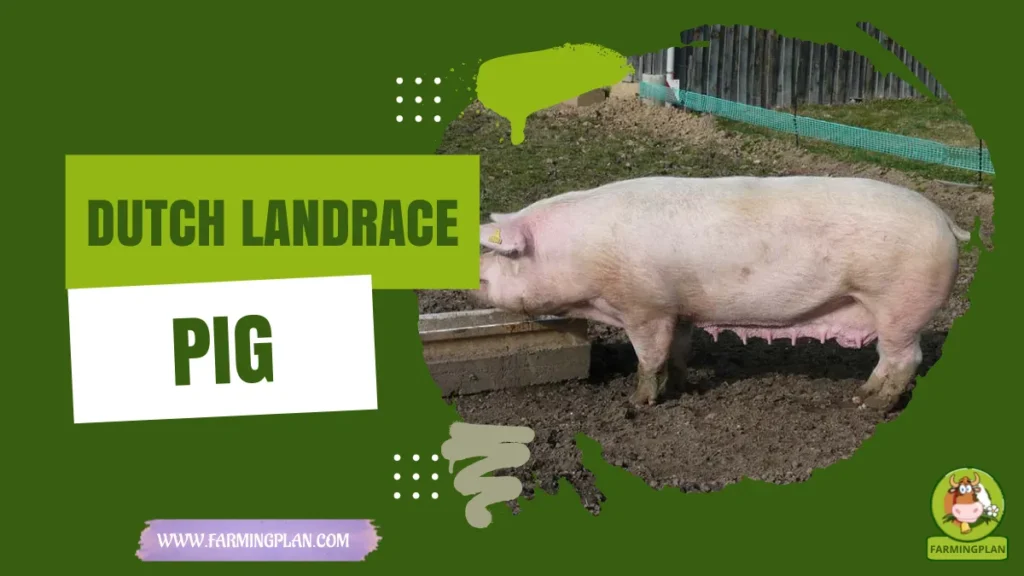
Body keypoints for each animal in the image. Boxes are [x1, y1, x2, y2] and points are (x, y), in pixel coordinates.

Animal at [469, 175, 971, 411]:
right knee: (890, 359)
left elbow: (648, 357)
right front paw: (681, 387)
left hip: (900, 305)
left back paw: (872, 406)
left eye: (500, 255)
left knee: (905, 359)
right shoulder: (678, 310)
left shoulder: (645, 307)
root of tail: (947, 222)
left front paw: (638, 403)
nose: (472, 275)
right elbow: (677, 352)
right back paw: (863, 394)